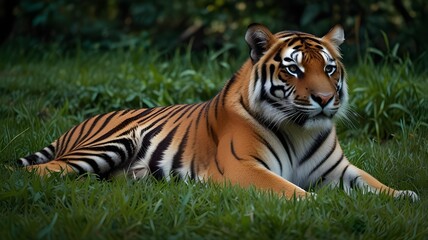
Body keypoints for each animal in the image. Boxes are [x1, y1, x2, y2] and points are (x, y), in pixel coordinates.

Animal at [18, 23, 416, 201]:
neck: (301, 129)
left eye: (330, 69)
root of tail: (78, 124)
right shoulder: (243, 168)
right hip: (108, 145)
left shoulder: (339, 171)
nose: (323, 98)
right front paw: (319, 205)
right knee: (38, 171)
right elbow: (291, 191)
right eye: (294, 69)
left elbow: (375, 184)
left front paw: (404, 198)